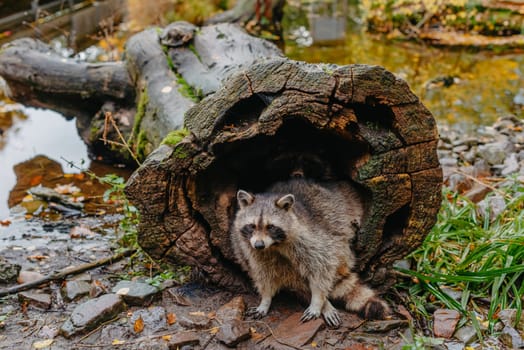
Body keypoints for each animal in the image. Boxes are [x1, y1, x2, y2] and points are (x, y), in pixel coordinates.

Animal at [230, 179, 388, 326]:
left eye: (271, 227)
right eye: (252, 226)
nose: (259, 245)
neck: (274, 246)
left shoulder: (310, 238)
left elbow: (322, 266)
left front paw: (318, 300)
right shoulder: (254, 251)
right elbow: (264, 274)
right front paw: (266, 299)